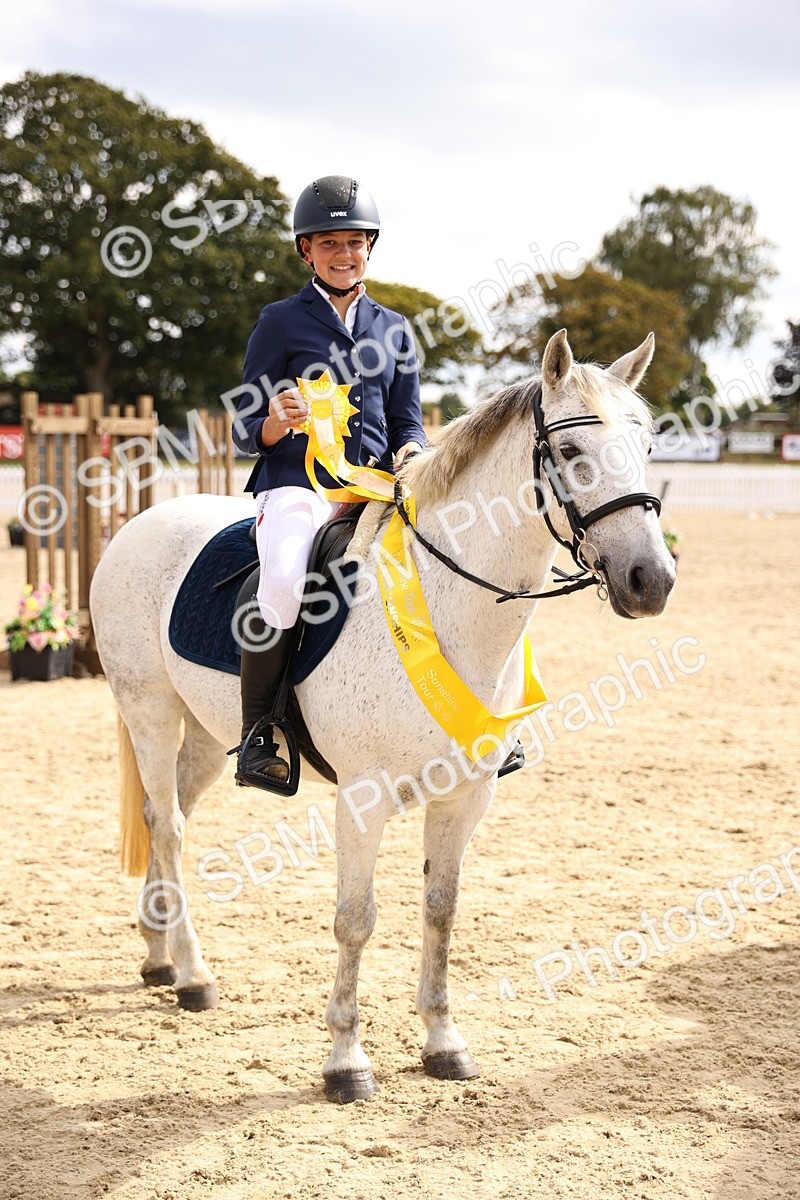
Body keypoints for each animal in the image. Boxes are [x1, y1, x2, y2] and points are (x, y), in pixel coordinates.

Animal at [90, 329, 675, 1103]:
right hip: (149, 708)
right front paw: (346, 1060)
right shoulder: (362, 798)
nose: (652, 581)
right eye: (573, 451)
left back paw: (158, 953)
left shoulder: (466, 796)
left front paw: (443, 1043)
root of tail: (141, 521)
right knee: (169, 824)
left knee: (173, 816)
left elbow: (440, 911)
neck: (450, 604)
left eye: (647, 446)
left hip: (209, 733)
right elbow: (356, 921)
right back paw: (191, 974)